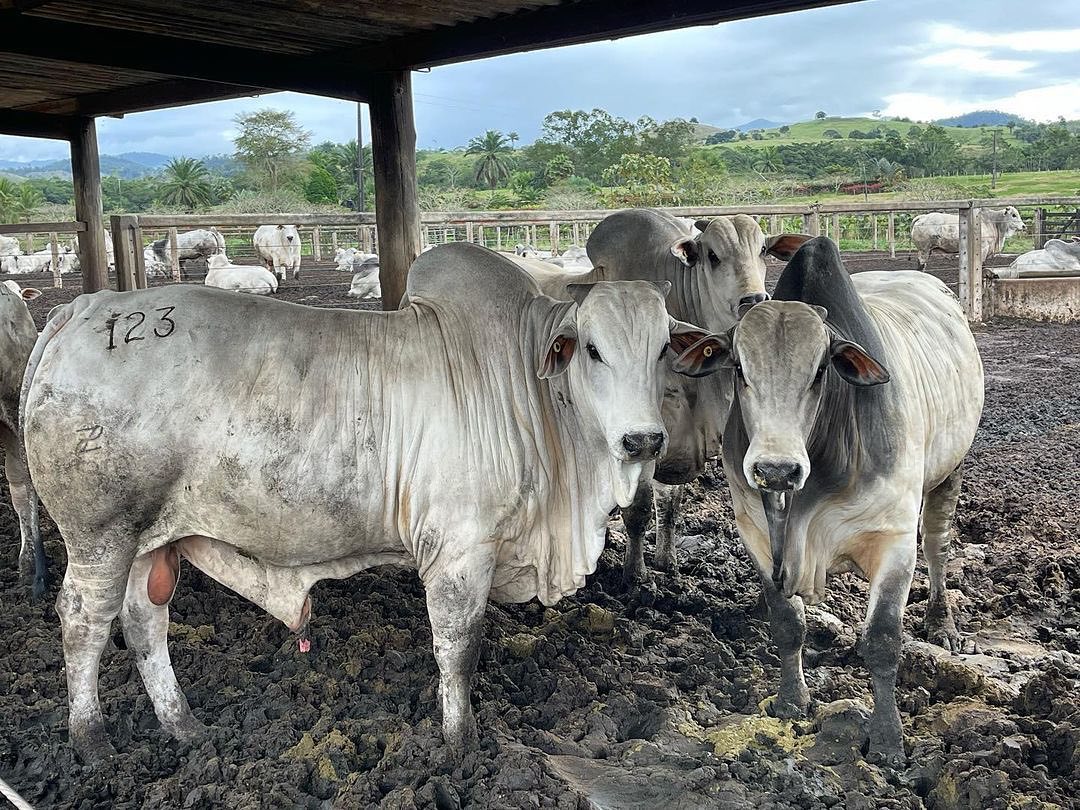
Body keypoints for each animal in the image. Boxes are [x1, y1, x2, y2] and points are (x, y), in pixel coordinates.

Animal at [19, 244, 725, 764]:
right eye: (594, 349)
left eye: (662, 348)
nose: (644, 439)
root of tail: (84, 308)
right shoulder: (459, 549)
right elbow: (459, 649)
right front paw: (460, 745)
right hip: (100, 533)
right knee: (82, 622)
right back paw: (92, 741)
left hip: (150, 537)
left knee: (144, 622)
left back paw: (182, 725)